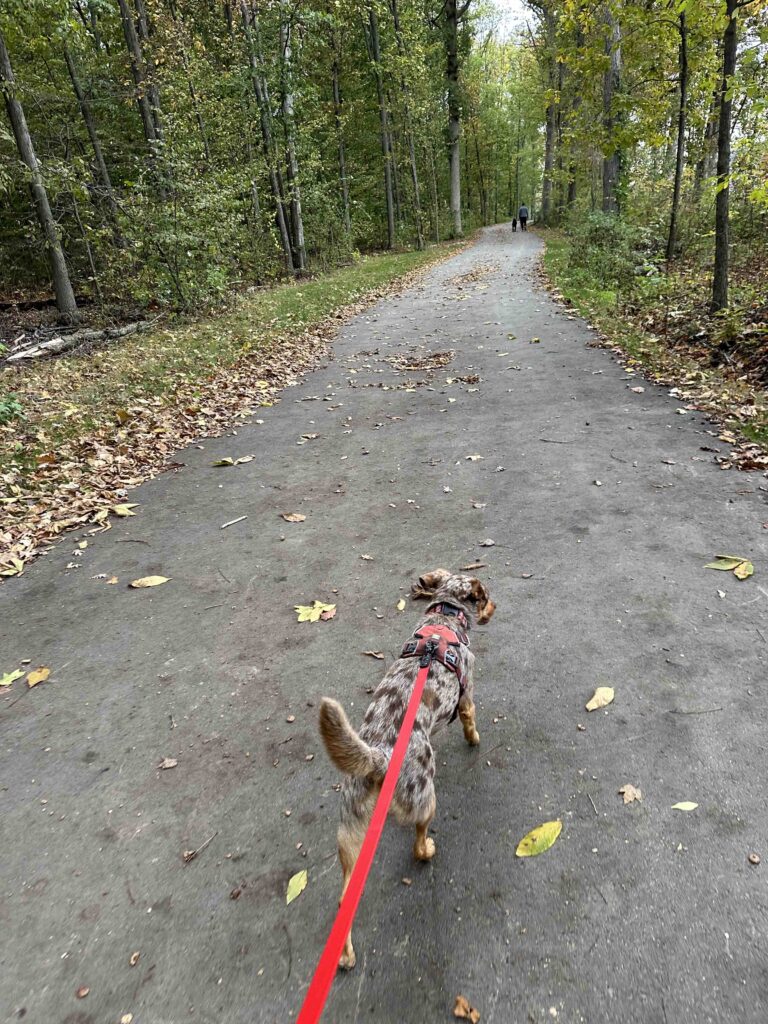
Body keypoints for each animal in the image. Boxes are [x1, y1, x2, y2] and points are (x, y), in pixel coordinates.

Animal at [319, 569, 495, 966]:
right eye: (486, 596)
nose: (495, 606)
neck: (445, 617)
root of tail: (379, 756)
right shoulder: (467, 696)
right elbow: (470, 722)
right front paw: (474, 739)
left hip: (349, 833)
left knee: (343, 898)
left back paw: (345, 953)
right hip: (425, 796)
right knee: (418, 841)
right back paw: (427, 849)